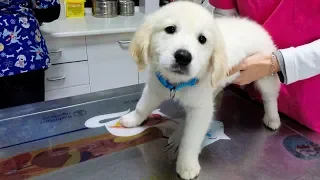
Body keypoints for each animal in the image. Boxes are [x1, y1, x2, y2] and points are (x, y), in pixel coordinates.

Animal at [120, 1, 280, 179]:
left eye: (202, 39)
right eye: (170, 29)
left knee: (270, 97)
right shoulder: (155, 87)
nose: (183, 56)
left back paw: (273, 119)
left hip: (265, 74)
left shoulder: (200, 110)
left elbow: (190, 140)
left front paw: (187, 165)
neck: (177, 83)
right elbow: (142, 106)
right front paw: (133, 119)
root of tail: (258, 27)